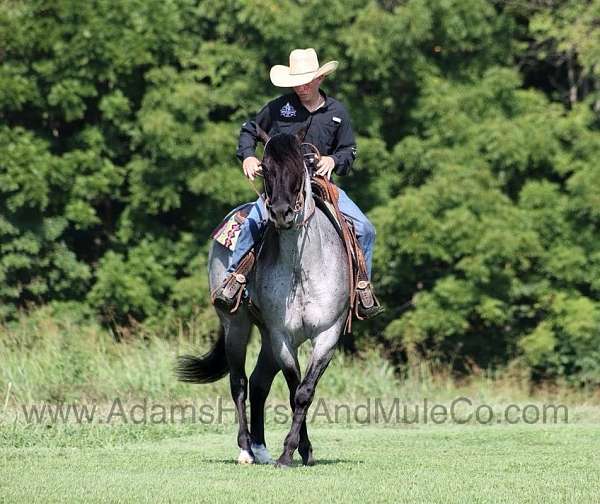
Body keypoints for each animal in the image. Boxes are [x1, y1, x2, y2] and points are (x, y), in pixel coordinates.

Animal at [176, 128, 350, 466]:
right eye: (265, 169)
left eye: (299, 166)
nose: (281, 212)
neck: (301, 269)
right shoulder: (283, 335)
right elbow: (295, 389)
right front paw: (291, 451)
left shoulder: (327, 334)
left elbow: (304, 392)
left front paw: (299, 451)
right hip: (237, 326)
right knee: (239, 383)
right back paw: (246, 448)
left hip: (266, 336)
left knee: (258, 383)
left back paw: (260, 448)